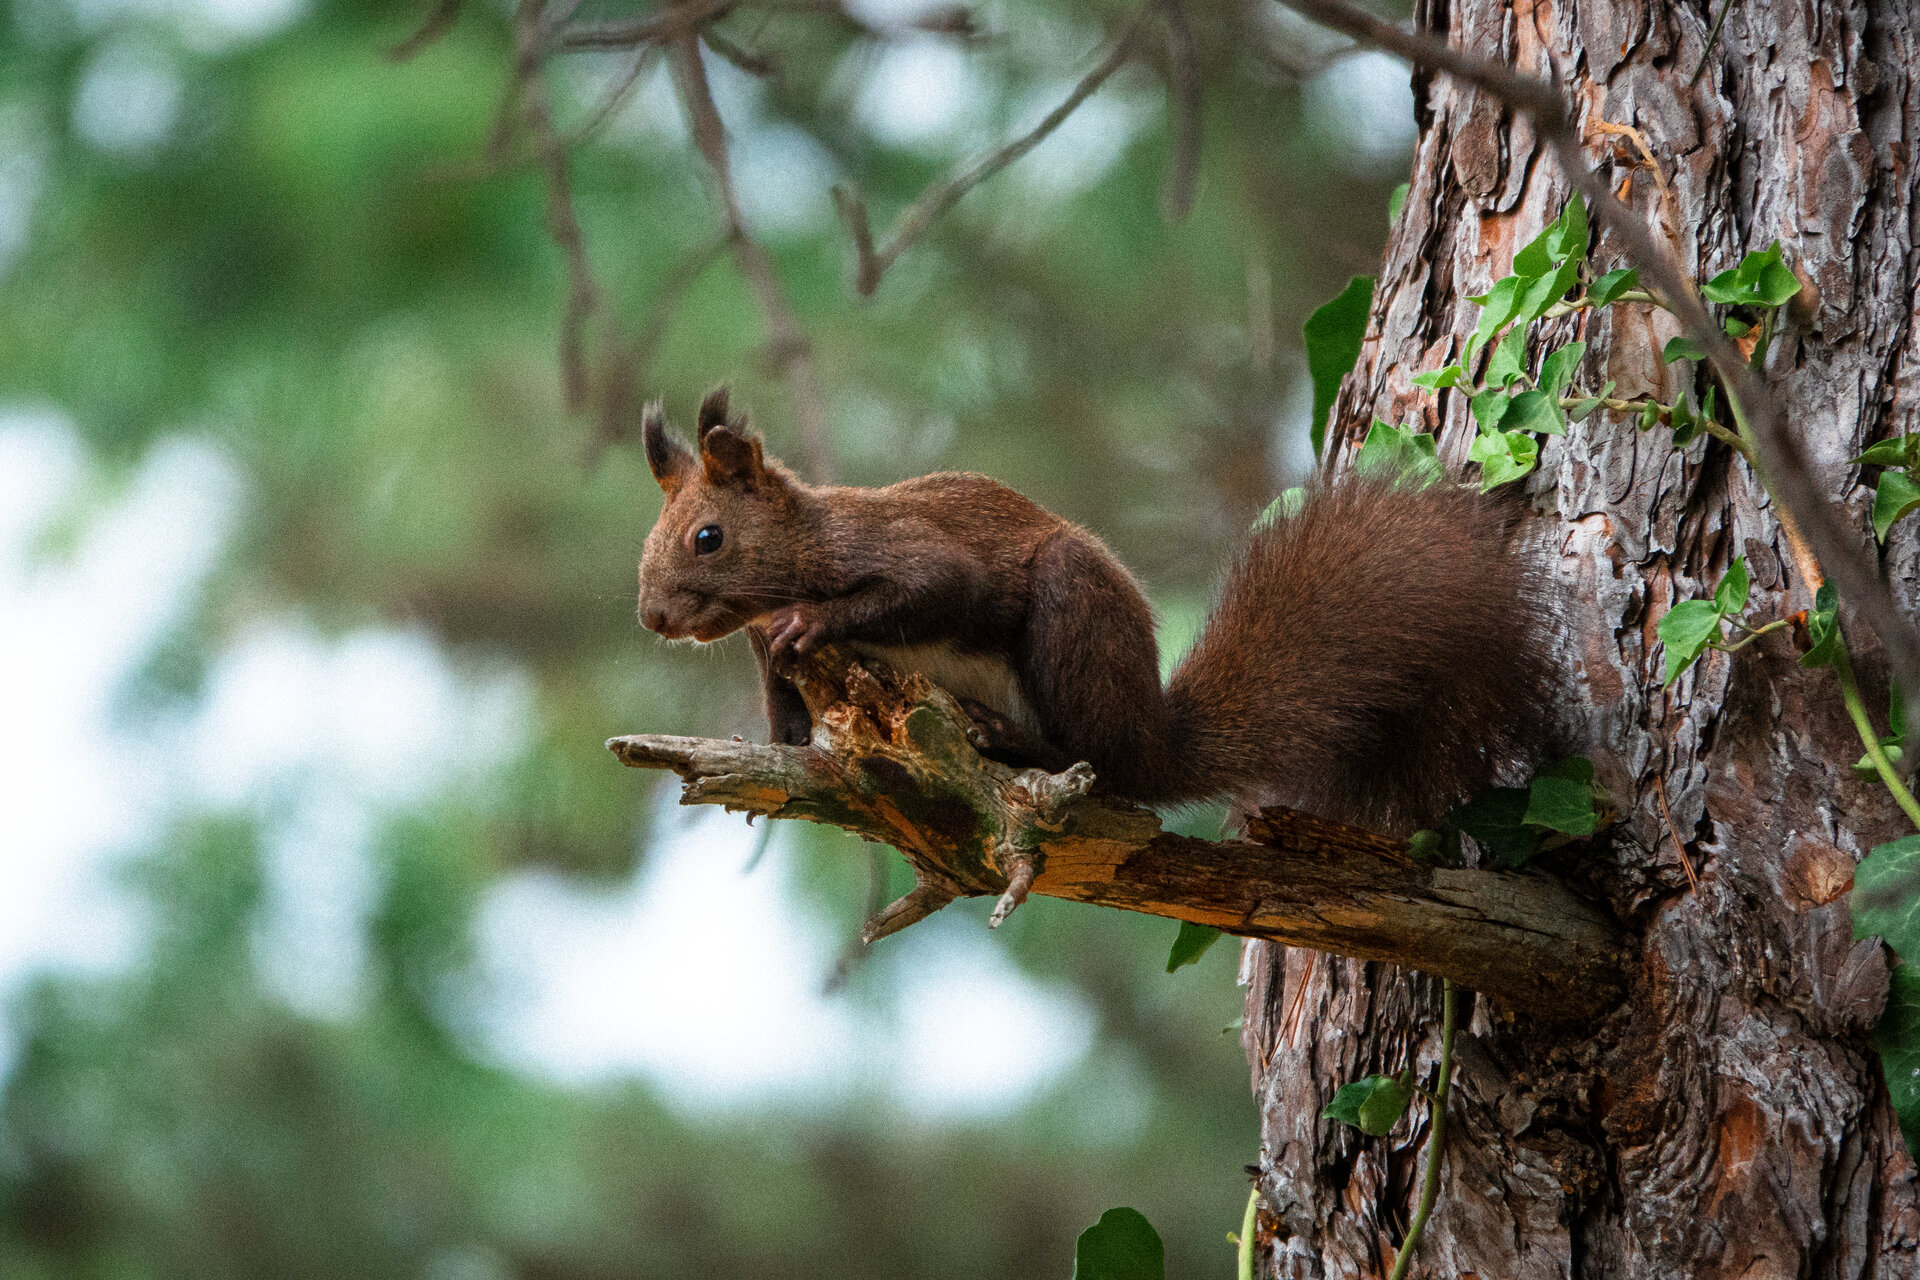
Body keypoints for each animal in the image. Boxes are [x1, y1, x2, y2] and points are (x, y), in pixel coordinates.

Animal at [637, 385, 1551, 836]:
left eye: (708, 538)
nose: (652, 618)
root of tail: (1154, 739)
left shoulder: (899, 550)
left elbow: (930, 588)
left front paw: (816, 622)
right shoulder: (765, 660)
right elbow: (786, 716)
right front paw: (784, 750)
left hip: (1072, 615)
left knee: (1097, 762)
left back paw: (1009, 739)